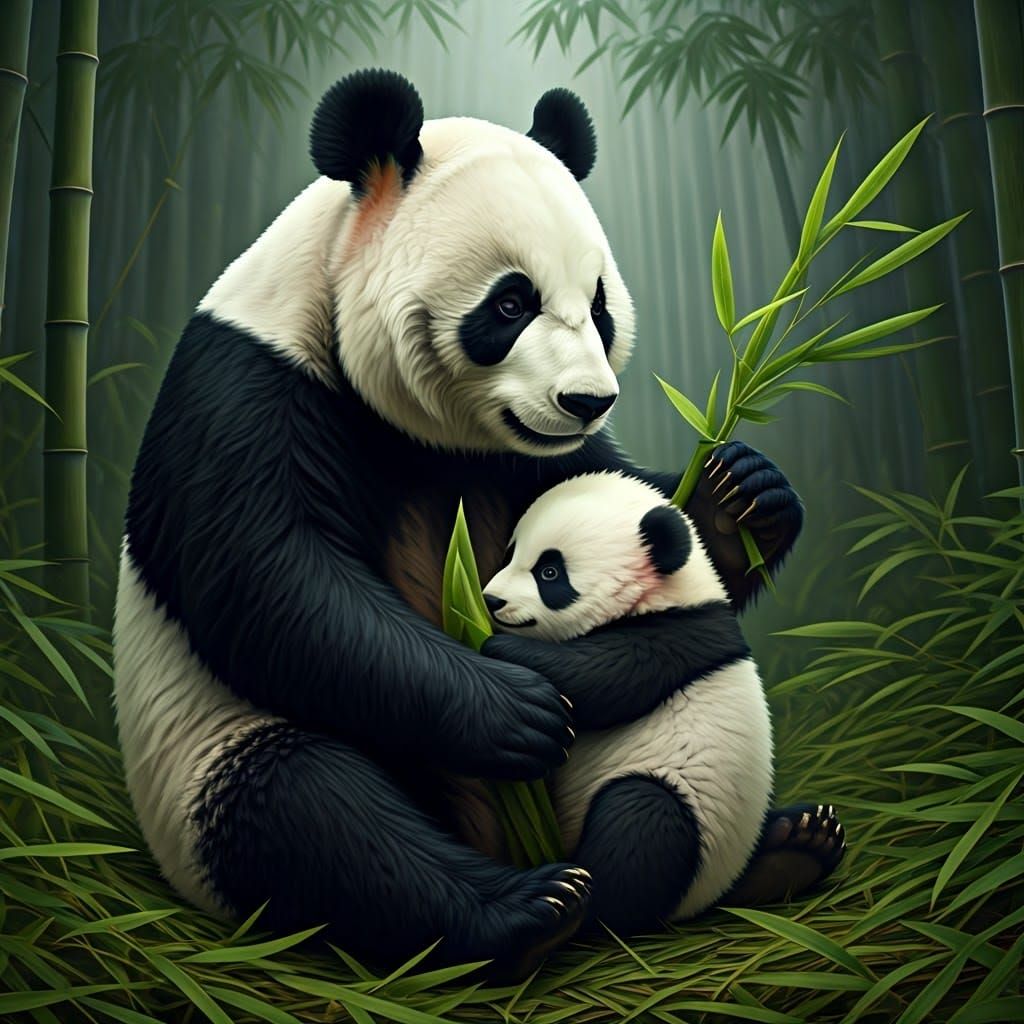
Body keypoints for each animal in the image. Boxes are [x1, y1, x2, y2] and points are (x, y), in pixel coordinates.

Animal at [483, 471, 842, 931]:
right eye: (510, 554)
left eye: (549, 572)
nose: (492, 600)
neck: (669, 590)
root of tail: (701, 902)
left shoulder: (675, 637)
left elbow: (600, 679)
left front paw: (499, 650)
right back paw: (801, 844)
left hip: (689, 828)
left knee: (642, 820)